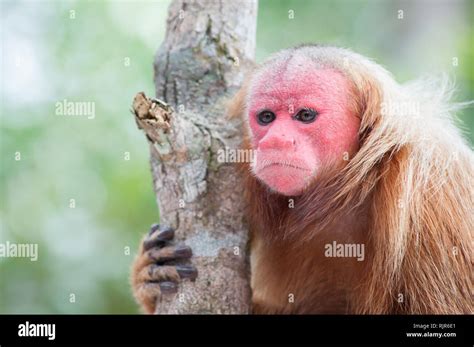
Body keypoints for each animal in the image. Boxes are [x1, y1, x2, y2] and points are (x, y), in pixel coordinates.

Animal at [131, 44, 474, 316]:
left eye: (305, 115)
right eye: (266, 118)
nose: (275, 141)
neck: (351, 190)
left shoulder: (433, 201)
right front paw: (148, 276)